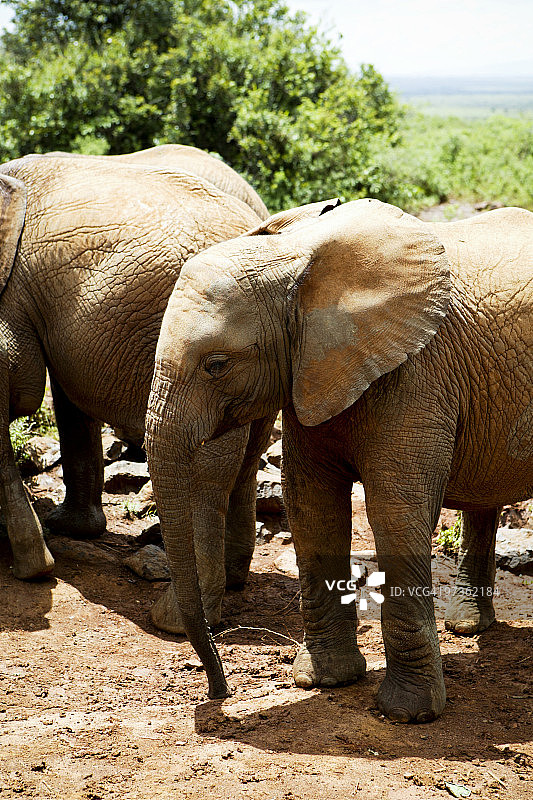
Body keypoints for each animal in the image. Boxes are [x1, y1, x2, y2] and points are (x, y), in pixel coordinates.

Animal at [0, 148, 273, 635]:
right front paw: (70, 529)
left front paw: (34, 566)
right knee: (248, 453)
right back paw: (234, 581)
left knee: (207, 469)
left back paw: (176, 621)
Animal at [145, 196, 533, 723]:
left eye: (216, 365)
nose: (220, 691)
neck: (294, 262)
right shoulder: (309, 372)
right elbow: (311, 506)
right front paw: (324, 680)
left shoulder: (416, 373)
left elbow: (396, 512)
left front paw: (408, 714)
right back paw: (467, 627)